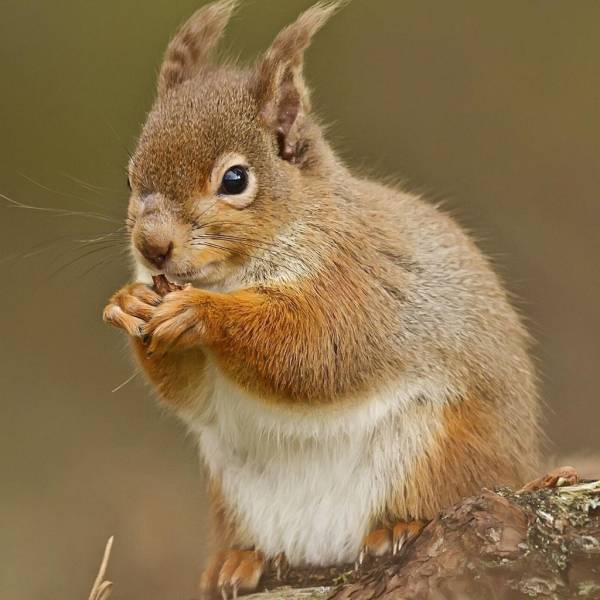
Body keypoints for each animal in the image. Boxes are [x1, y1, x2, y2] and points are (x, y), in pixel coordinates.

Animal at [103, 3, 540, 596]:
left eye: (235, 179)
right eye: (130, 178)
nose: (151, 247)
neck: (232, 276)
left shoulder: (357, 284)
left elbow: (315, 350)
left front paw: (202, 314)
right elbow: (190, 393)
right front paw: (128, 303)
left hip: (440, 450)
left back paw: (399, 527)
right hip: (233, 497)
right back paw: (240, 561)